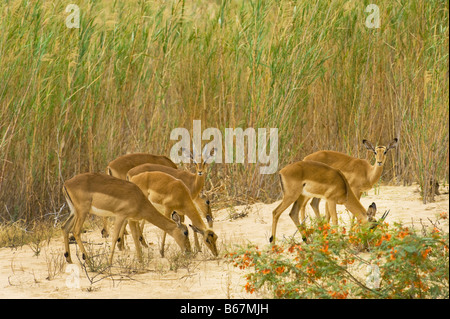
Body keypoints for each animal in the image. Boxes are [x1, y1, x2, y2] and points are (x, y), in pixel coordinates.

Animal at [62, 172, 192, 264]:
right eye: (185, 232)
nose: (189, 251)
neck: (139, 200)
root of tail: (66, 183)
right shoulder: (121, 216)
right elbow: (115, 237)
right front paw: (109, 263)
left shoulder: (131, 219)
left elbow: (135, 237)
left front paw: (140, 260)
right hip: (82, 212)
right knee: (76, 231)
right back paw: (88, 261)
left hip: (74, 212)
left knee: (64, 227)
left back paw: (69, 260)